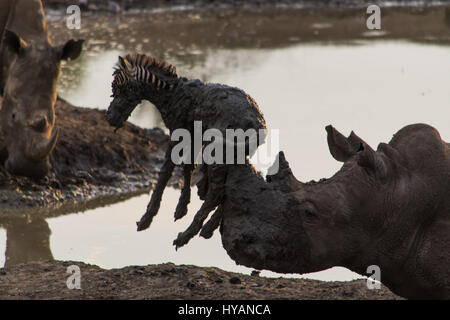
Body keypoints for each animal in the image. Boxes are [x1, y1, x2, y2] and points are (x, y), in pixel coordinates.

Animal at [105, 54, 266, 250]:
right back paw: (207, 229)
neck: (171, 95)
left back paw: (185, 236)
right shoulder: (193, 136)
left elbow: (167, 171)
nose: (109, 118)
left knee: (218, 191)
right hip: (236, 155)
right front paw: (183, 206)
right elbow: (189, 166)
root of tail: (258, 123)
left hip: (219, 153)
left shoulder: (177, 132)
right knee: (231, 185)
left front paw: (148, 218)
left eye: (119, 89)